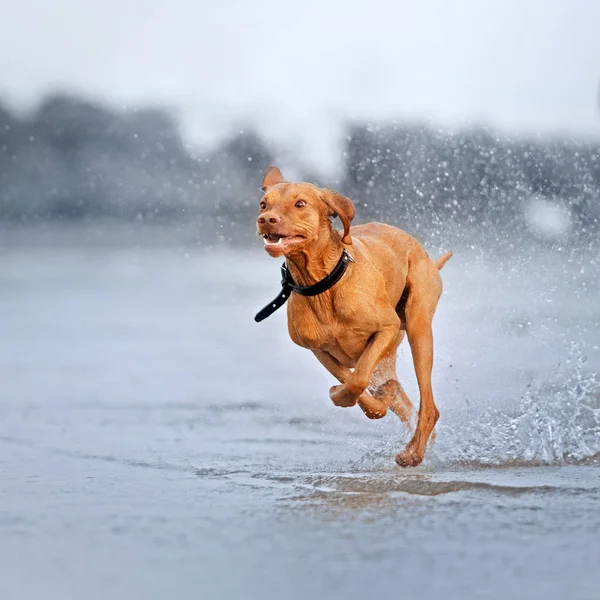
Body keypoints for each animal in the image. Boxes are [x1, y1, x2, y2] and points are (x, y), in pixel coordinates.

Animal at [254, 166, 450, 466]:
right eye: (264, 204)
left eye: (300, 204)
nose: (266, 219)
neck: (323, 285)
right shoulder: (319, 349)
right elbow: (350, 381)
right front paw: (362, 400)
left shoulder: (386, 327)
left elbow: (357, 380)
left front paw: (354, 397)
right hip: (387, 359)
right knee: (402, 399)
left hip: (418, 327)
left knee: (428, 406)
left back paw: (413, 453)